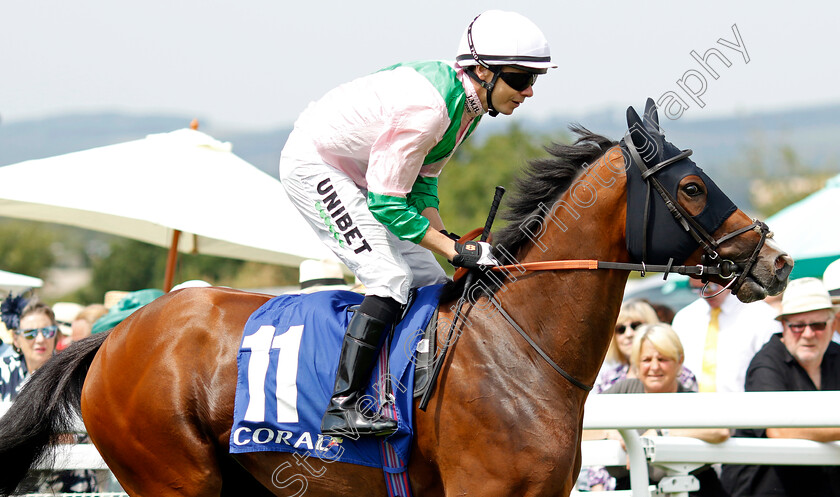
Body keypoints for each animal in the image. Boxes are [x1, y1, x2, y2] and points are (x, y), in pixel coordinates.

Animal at [0, 99, 792, 494]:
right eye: (692, 187)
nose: (776, 259)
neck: (519, 348)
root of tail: (115, 335)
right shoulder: (482, 491)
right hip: (171, 474)